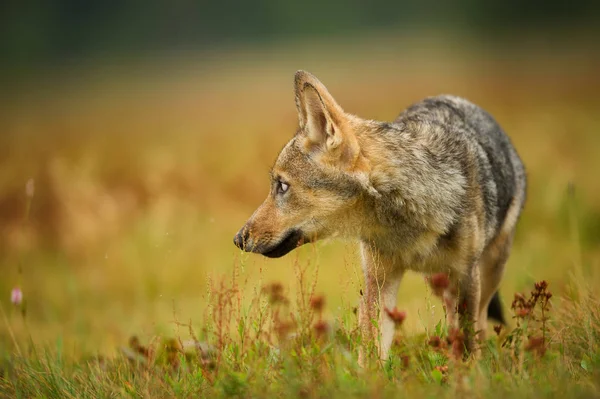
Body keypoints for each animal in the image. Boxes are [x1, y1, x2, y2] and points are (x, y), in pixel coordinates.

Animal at [233, 71, 524, 362]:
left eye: (282, 186)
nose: (238, 239)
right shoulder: (379, 281)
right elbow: (372, 351)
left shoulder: (465, 276)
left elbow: (468, 345)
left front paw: (468, 373)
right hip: (438, 283)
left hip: (484, 276)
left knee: (479, 323)